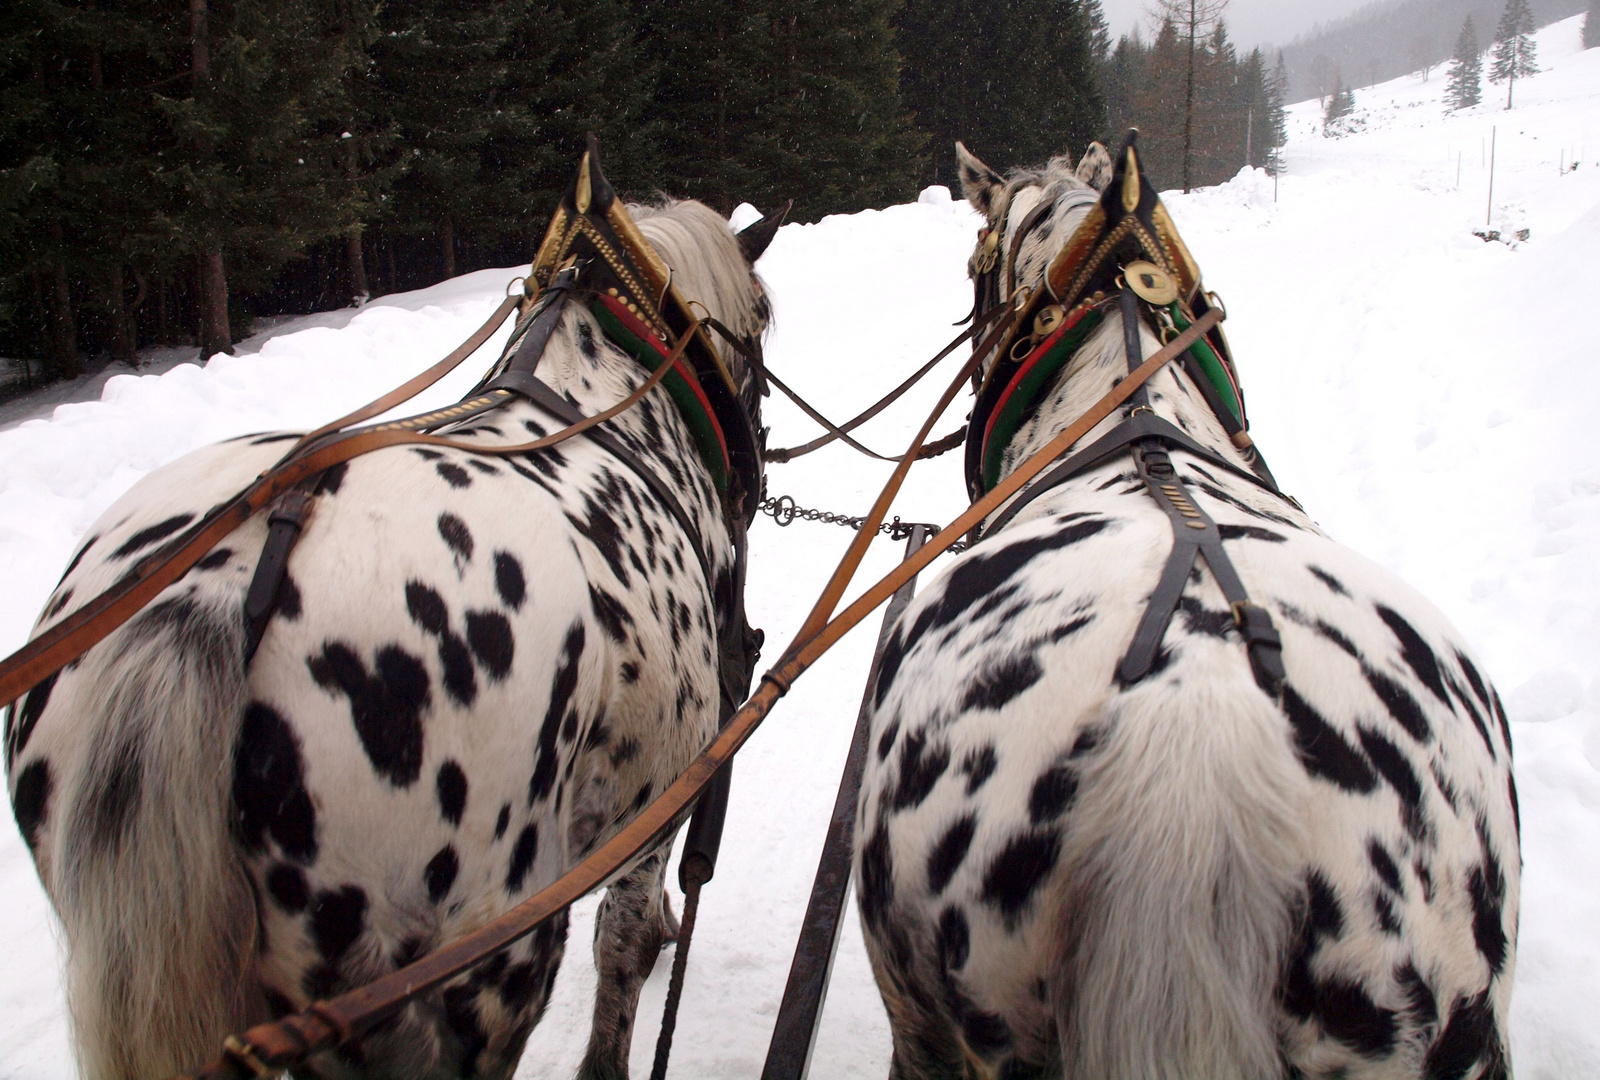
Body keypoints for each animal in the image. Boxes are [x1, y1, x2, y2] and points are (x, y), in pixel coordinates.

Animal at [1, 149, 787, 1080]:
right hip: (483, 963)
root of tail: (213, 594)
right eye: (765, 314)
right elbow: (621, 953)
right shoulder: (660, 790)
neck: (608, 399)